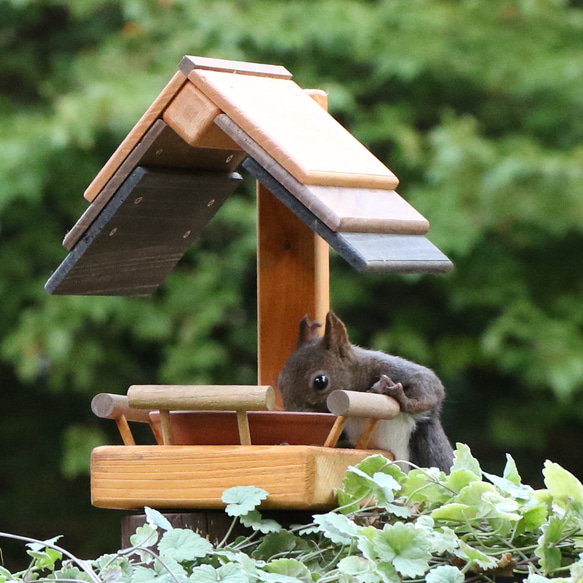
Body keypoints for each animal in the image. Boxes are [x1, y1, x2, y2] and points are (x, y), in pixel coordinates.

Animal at [278, 312, 456, 472]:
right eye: (280, 383)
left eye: (320, 381)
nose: (295, 415)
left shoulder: (394, 369)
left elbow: (430, 385)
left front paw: (396, 394)